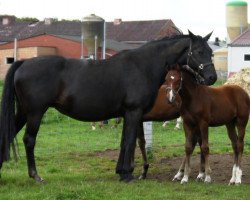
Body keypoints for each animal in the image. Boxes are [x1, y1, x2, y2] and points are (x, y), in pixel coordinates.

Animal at [0, 30, 217, 182]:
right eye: (199, 52)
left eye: (211, 52)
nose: (212, 77)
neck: (142, 66)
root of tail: (23, 63)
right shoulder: (134, 112)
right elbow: (130, 142)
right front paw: (127, 174)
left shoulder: (127, 114)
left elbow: (123, 142)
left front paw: (121, 171)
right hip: (35, 112)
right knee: (29, 140)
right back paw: (36, 175)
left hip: (23, 112)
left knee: (9, 134)